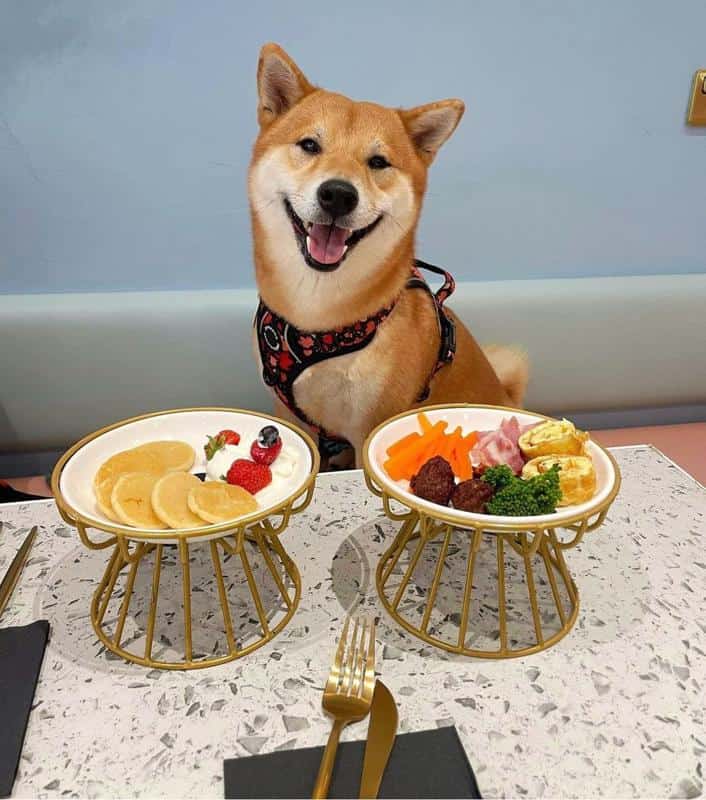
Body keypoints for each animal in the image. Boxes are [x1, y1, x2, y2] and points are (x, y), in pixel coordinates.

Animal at [249, 43, 528, 467]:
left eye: (378, 162)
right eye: (310, 145)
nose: (338, 194)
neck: (316, 317)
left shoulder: (371, 426)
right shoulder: (289, 413)